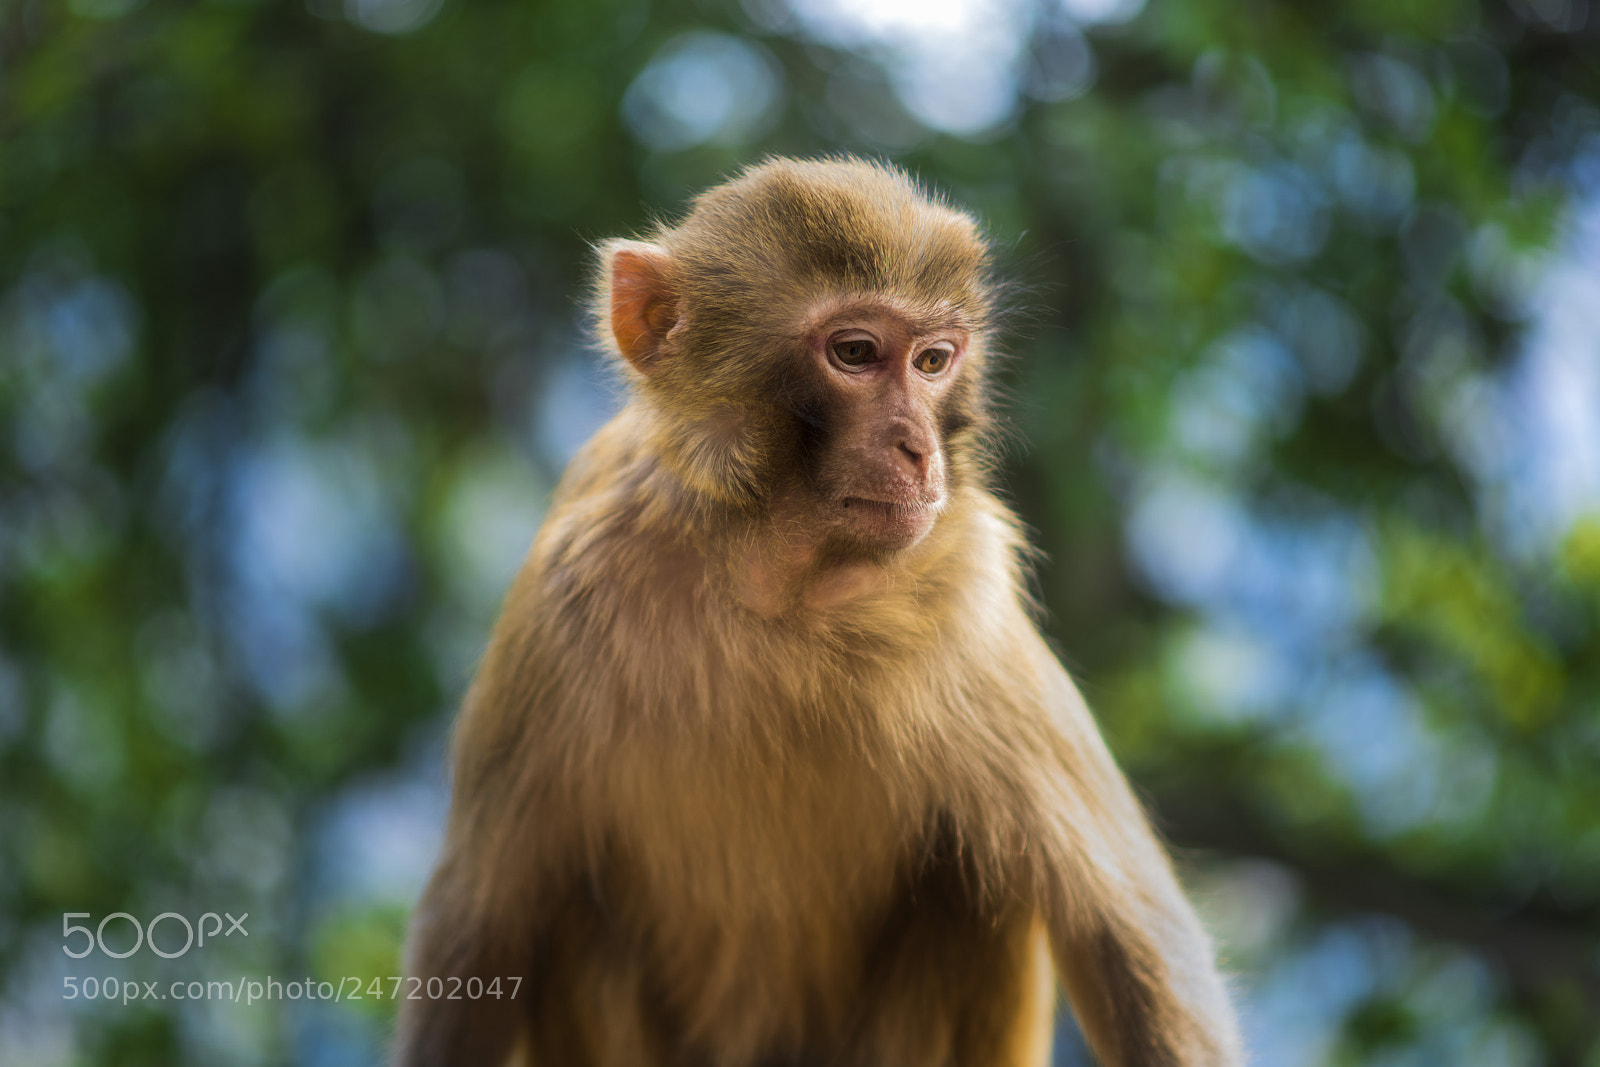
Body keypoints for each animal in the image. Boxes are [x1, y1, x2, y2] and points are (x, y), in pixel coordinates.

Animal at [394, 157, 1242, 1067]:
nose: (918, 447)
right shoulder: (562, 598)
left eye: (934, 360)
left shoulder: (971, 598)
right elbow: (479, 937)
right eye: (856, 353)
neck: (779, 581)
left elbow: (1129, 940)